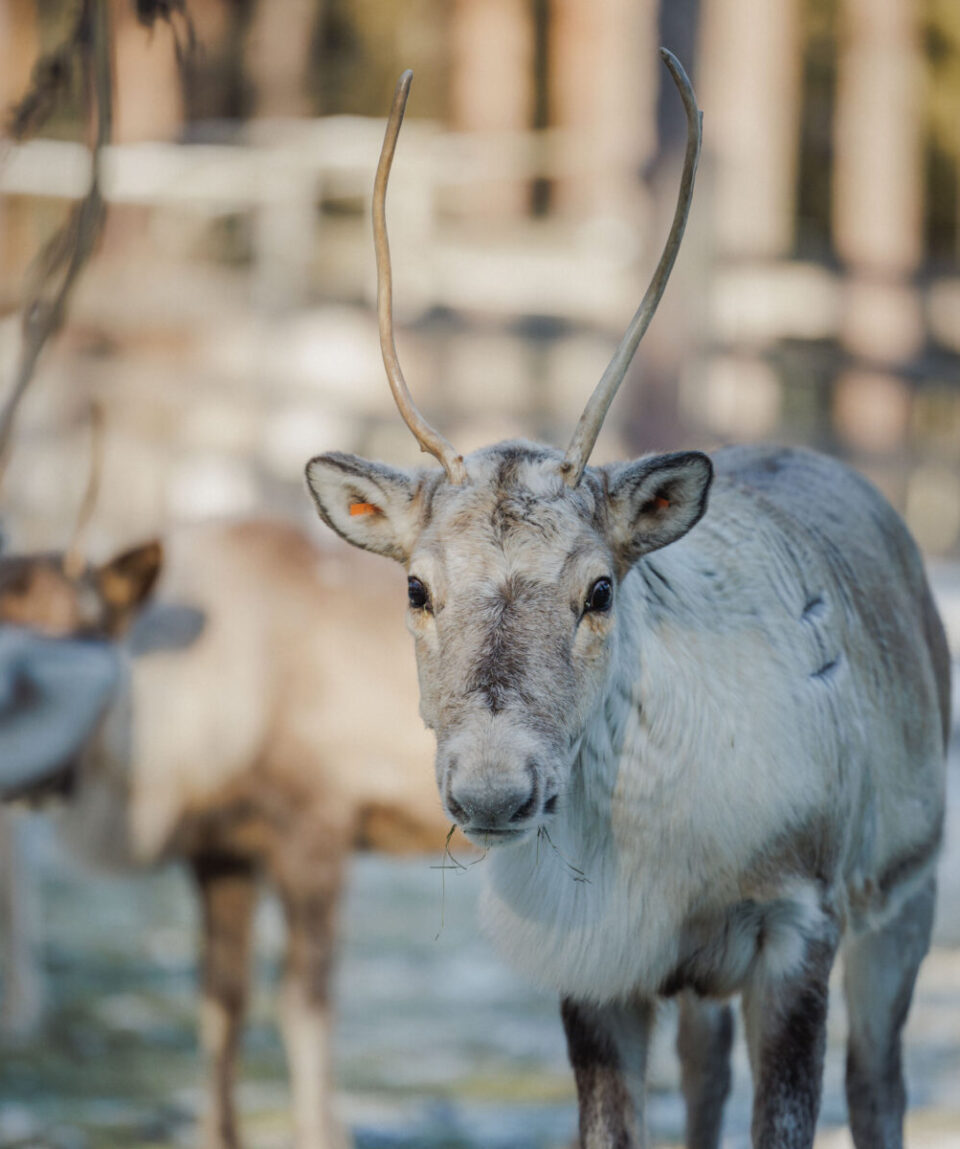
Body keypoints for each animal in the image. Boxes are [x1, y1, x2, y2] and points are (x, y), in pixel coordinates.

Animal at [0, 518, 451, 1149]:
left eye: (90, 628)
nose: (34, 780)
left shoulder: (315, 827)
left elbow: (302, 1005)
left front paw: (323, 1133)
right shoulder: (222, 850)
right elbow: (221, 1002)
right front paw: (217, 1133)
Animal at [305, 52, 951, 1149]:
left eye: (599, 586)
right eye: (417, 586)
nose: (493, 789)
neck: (666, 860)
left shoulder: (803, 922)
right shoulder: (598, 962)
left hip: (907, 893)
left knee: (880, 1085)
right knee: (706, 1078)